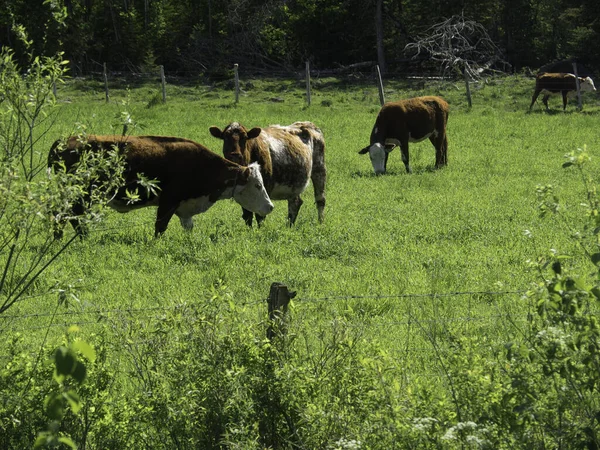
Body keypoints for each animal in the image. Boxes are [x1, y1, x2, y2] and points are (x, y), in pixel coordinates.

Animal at [49, 134, 274, 237]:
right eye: (257, 185)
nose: (270, 207)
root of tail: (64, 141)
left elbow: (188, 227)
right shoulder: (168, 201)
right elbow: (160, 226)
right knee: (71, 218)